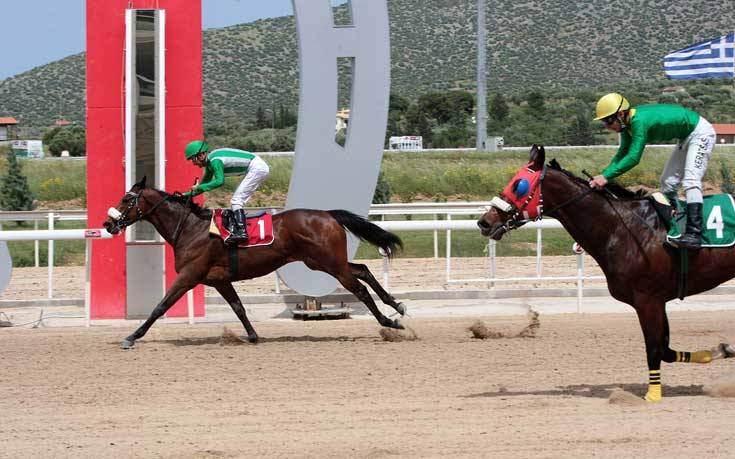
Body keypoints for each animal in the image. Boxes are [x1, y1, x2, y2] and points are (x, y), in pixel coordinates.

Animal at [102, 177, 408, 348]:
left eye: (127, 198)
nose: (108, 223)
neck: (190, 228)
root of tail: (329, 214)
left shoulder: (189, 276)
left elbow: (160, 306)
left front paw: (132, 336)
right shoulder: (220, 279)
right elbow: (238, 307)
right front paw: (251, 336)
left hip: (329, 263)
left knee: (359, 288)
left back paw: (388, 321)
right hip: (325, 261)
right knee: (363, 271)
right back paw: (397, 306)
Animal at [480, 146, 732, 404]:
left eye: (518, 185)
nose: (485, 222)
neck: (623, 228)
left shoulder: (648, 299)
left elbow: (654, 349)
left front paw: (652, 395)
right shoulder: (659, 300)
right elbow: (666, 351)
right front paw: (720, 350)